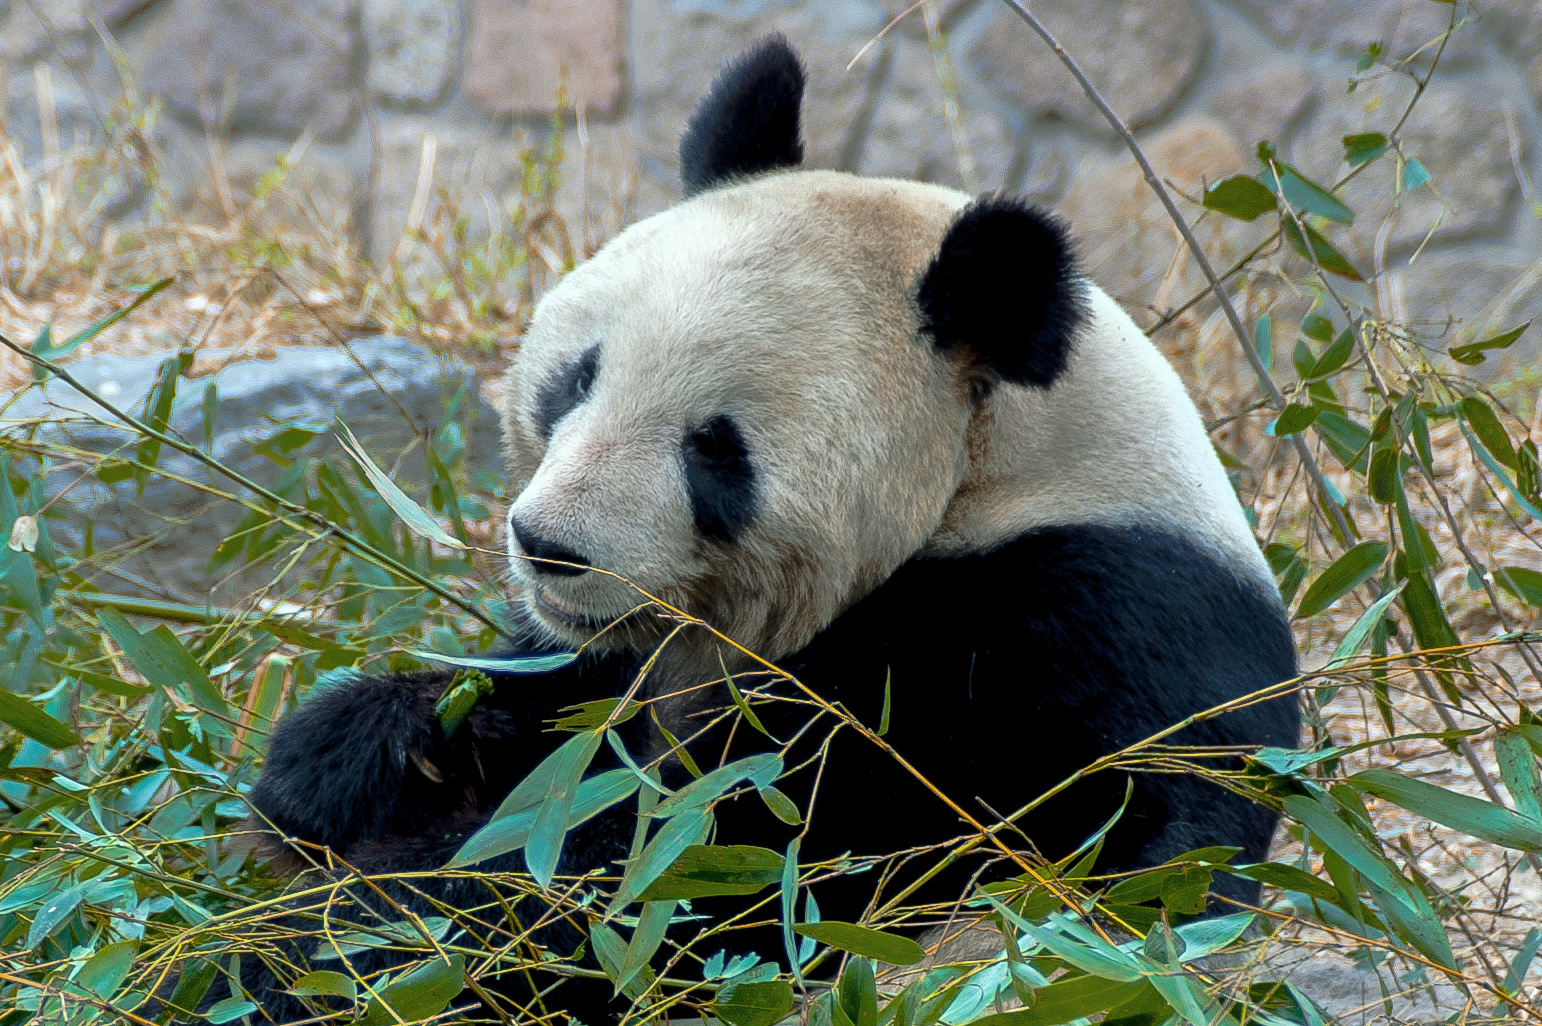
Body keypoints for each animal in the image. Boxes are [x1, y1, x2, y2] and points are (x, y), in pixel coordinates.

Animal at [243, 36, 1301, 1018]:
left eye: (716, 449)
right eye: (578, 376)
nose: (550, 548)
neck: (996, 475)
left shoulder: (1041, 641)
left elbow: (734, 856)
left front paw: (340, 947)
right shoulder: (612, 657)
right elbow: (548, 710)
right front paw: (363, 751)